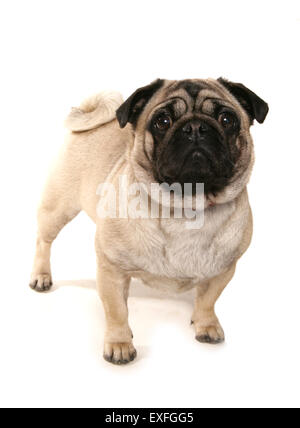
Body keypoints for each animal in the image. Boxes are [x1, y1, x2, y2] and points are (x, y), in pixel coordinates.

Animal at [30, 77, 268, 364]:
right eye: (162, 121)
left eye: (226, 119)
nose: (195, 128)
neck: (187, 207)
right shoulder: (112, 269)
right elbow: (116, 311)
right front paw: (119, 343)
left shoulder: (223, 270)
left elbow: (207, 301)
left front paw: (206, 325)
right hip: (58, 207)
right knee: (44, 240)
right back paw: (41, 276)